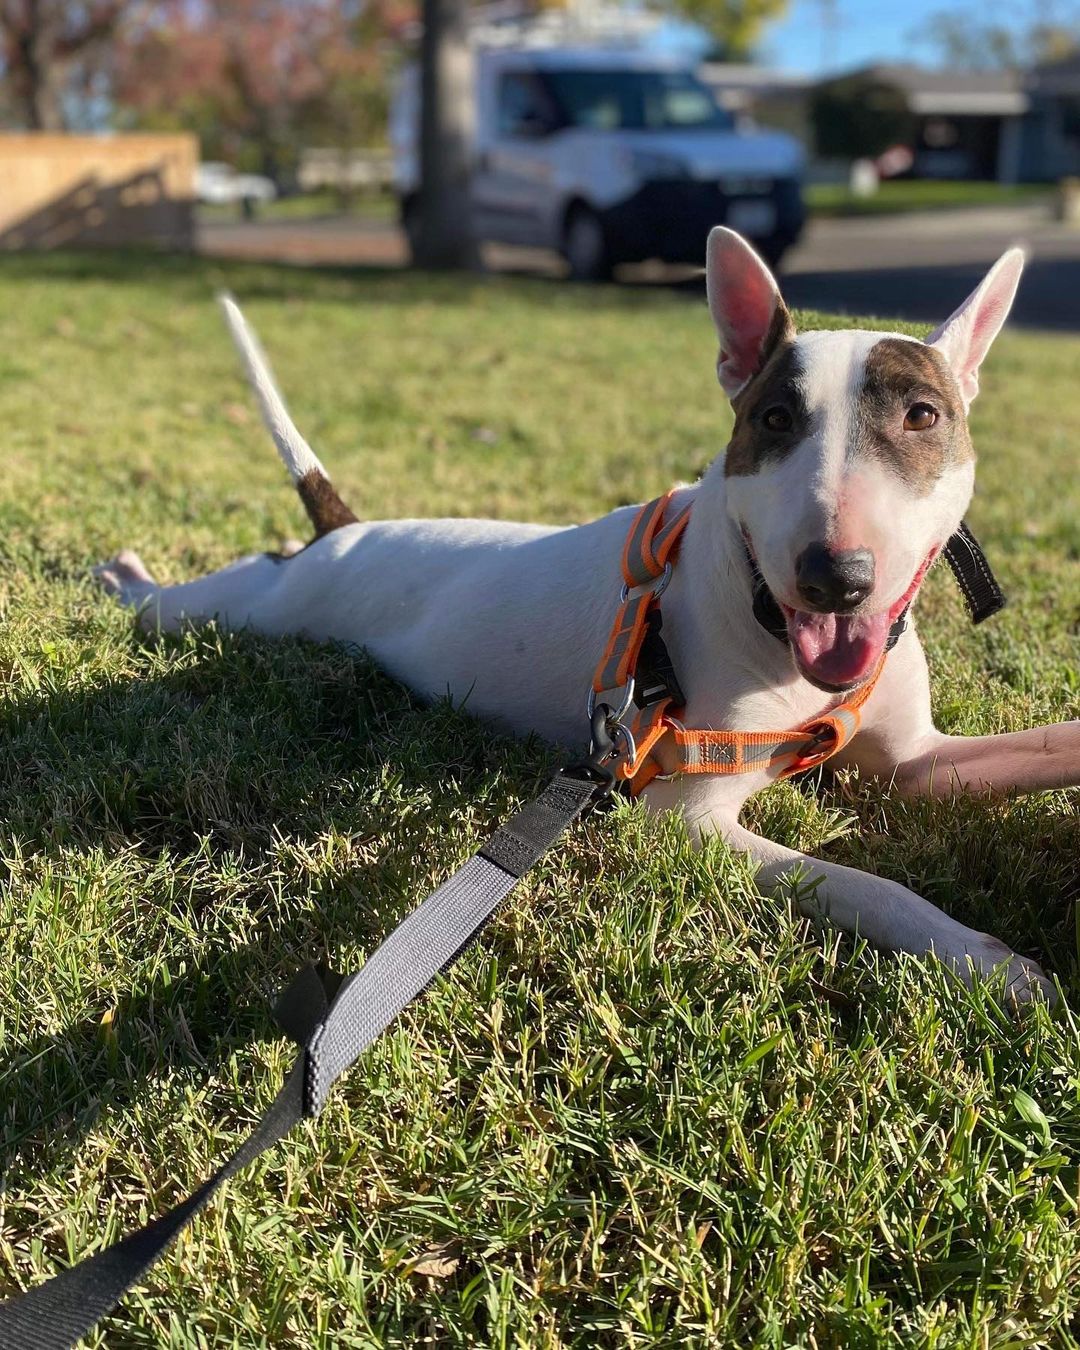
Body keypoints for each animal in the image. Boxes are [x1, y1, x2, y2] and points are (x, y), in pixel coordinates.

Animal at [99, 226, 1080, 1004]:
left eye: (923, 415)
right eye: (772, 418)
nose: (834, 576)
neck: (763, 615)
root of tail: (346, 530)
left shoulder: (916, 761)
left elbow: (1024, 751)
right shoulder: (689, 818)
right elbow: (865, 885)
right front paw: (989, 962)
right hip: (252, 605)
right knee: (179, 605)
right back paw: (126, 576)